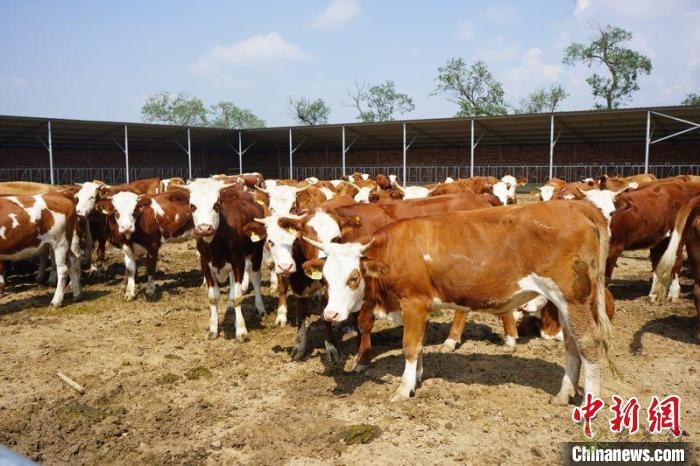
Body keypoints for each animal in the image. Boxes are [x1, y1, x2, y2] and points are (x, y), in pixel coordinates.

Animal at [300, 200, 612, 400]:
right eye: (325, 278)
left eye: (353, 277)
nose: (330, 315)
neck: (393, 250)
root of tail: (577, 206)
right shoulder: (423, 306)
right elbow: (421, 345)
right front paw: (417, 379)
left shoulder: (413, 303)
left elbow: (410, 346)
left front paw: (403, 389)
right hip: (564, 302)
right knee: (572, 344)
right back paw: (562, 395)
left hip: (573, 297)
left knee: (588, 343)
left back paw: (589, 406)